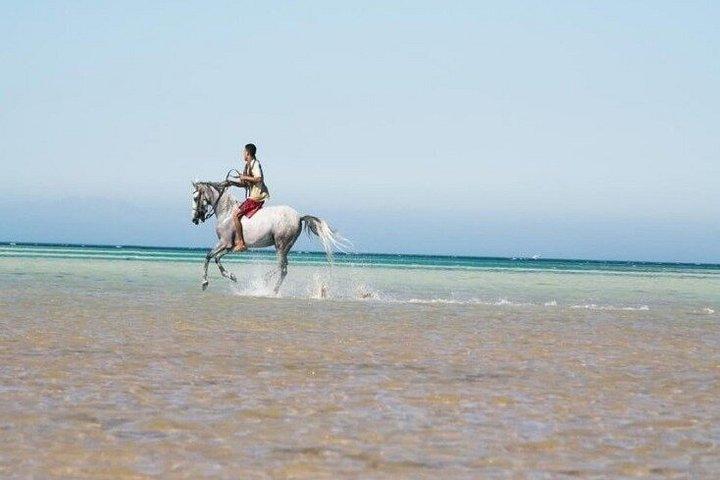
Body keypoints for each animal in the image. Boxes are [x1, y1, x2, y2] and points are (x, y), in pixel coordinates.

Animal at [190, 181, 349, 293]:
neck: (227, 212)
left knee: (281, 266)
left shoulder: (224, 243)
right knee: (284, 267)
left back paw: (266, 283)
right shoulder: (229, 247)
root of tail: (299, 216)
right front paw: (231, 276)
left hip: (280, 244)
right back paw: (272, 287)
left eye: (196, 197)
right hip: (286, 247)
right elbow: (216, 258)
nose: (194, 219)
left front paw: (204, 283)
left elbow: (208, 256)